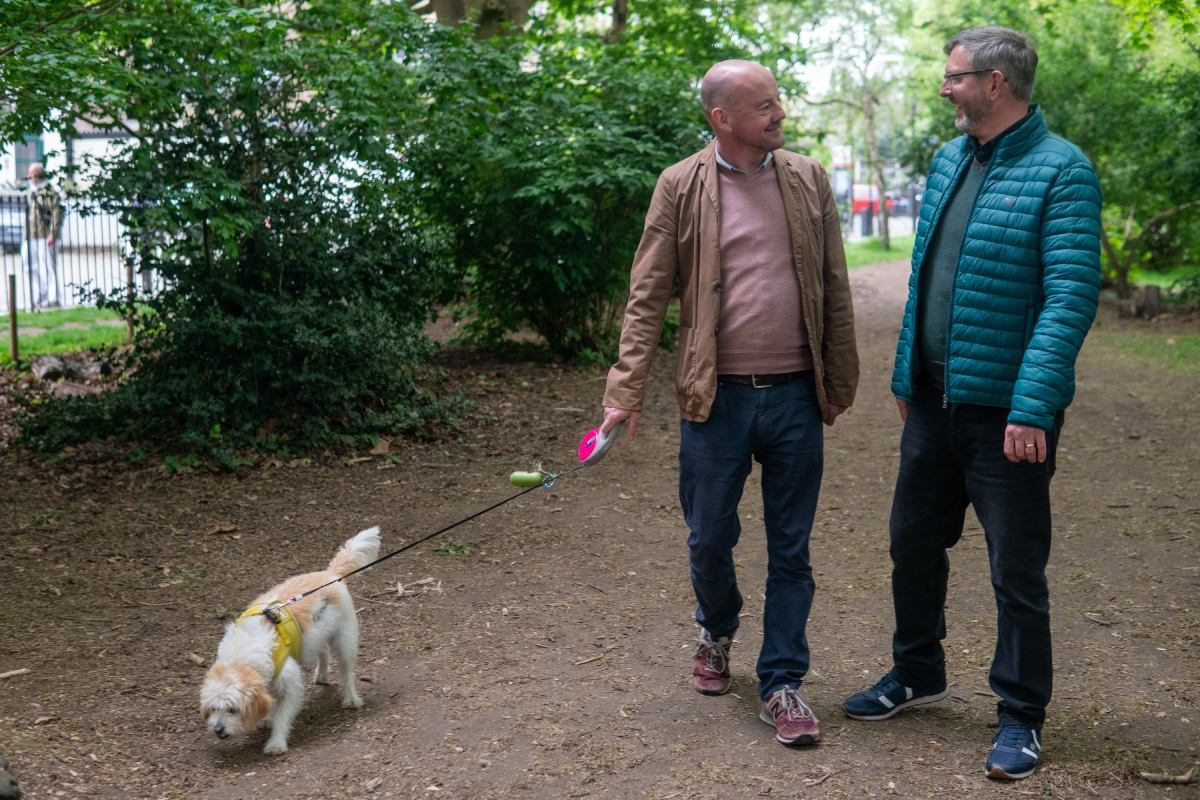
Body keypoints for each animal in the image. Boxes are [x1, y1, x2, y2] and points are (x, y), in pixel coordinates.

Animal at [200, 527, 379, 753]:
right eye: (213, 708)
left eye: (233, 709)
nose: (218, 730)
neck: (241, 658)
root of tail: (331, 574)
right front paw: (266, 718)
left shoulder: (290, 684)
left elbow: (283, 716)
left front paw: (276, 742)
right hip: (317, 636)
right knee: (323, 652)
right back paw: (322, 675)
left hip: (345, 641)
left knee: (346, 672)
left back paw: (351, 699)